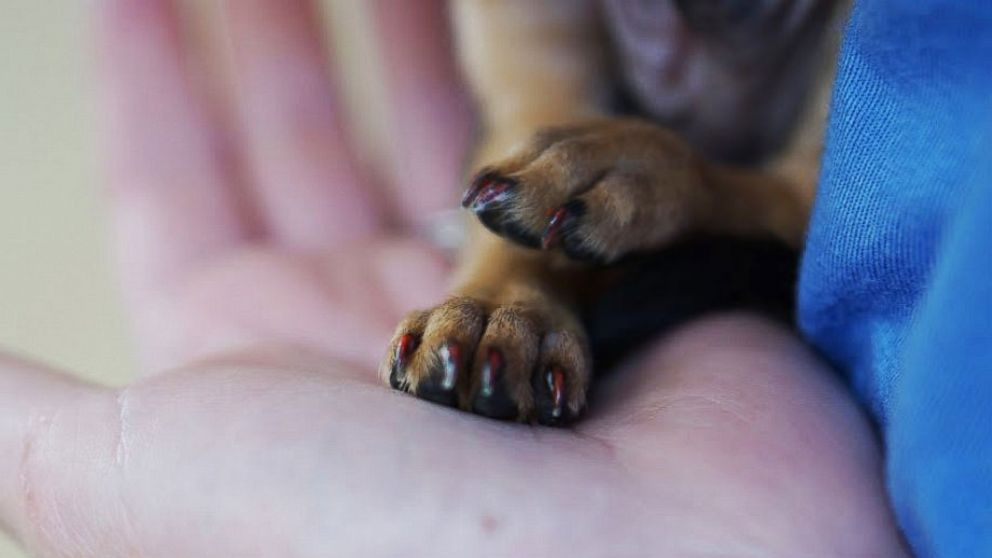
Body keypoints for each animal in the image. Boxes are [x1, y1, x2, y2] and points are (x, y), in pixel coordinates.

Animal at [380, 0, 844, 426]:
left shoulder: (813, 187)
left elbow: (737, 185)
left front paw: (626, 162)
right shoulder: (529, 90)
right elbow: (510, 234)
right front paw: (499, 311)